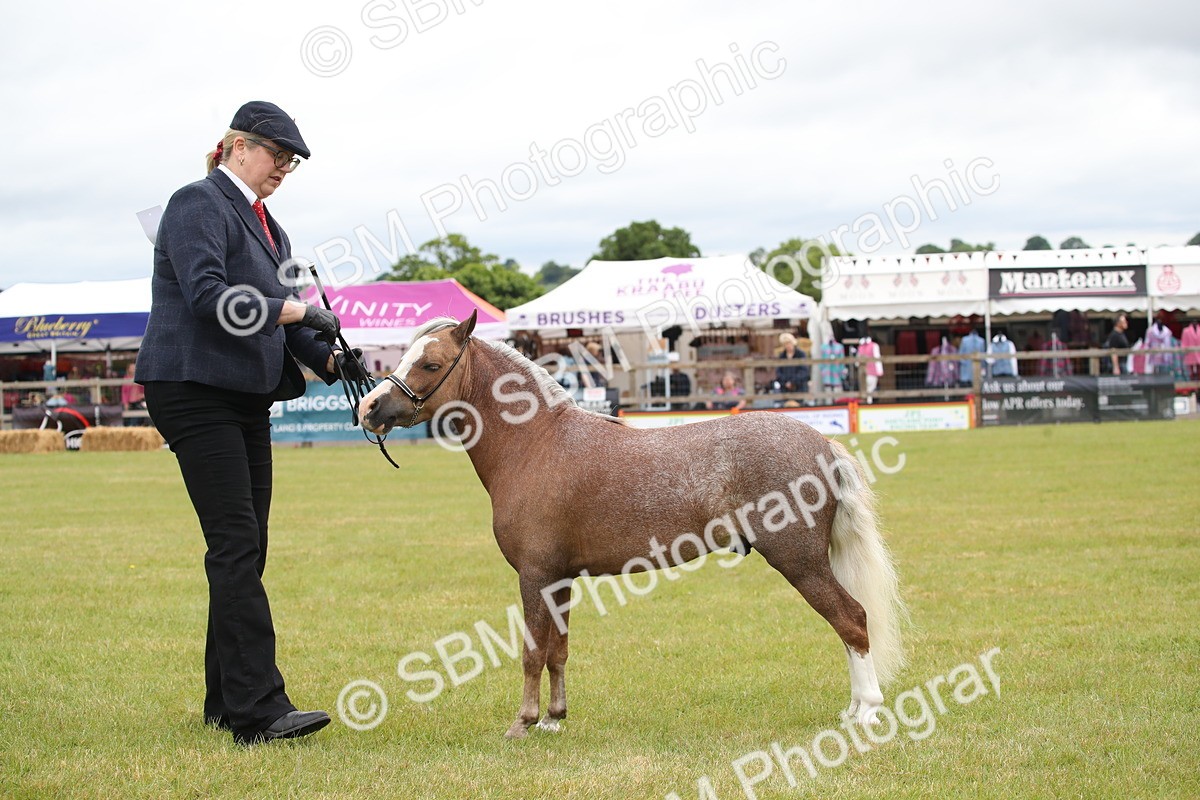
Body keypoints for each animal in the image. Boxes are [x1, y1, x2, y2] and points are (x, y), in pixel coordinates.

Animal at [359, 310, 906, 739]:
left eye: (429, 364)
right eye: (402, 358)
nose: (369, 408)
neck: (536, 442)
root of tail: (821, 442)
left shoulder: (534, 576)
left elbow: (532, 651)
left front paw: (523, 723)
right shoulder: (559, 579)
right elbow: (558, 650)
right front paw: (554, 719)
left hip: (800, 561)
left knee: (851, 620)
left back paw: (866, 714)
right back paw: (853, 711)